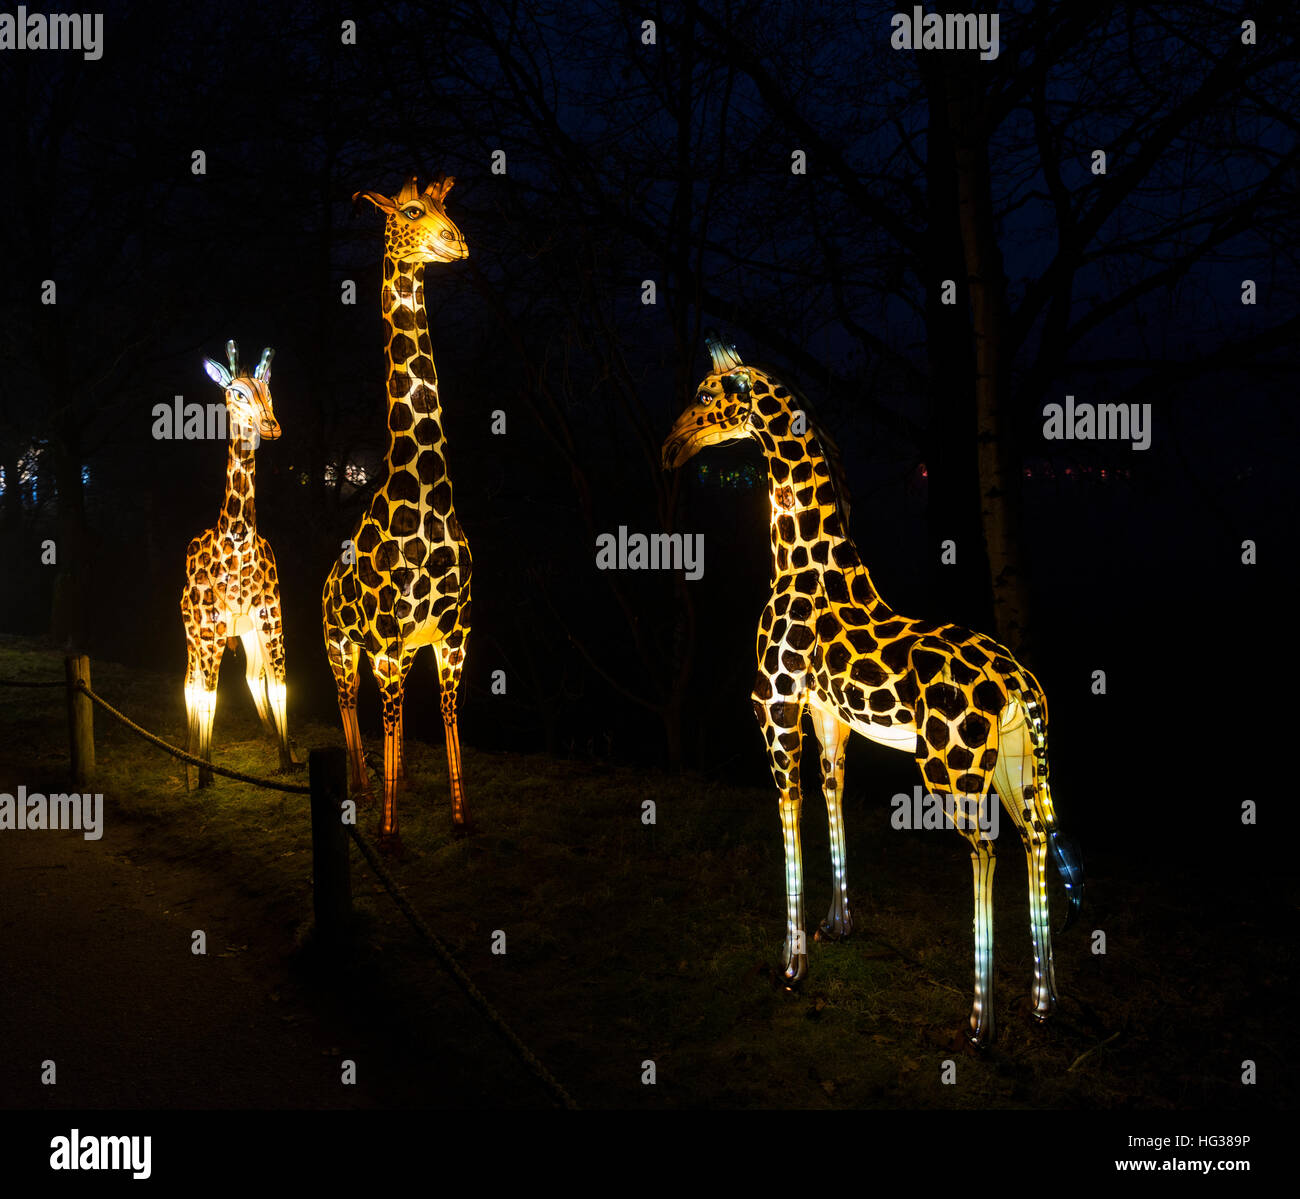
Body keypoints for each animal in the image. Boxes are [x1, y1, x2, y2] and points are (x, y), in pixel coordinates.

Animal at [662, 334, 1084, 1044]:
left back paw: (981, 1022)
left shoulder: (775, 709)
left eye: (704, 397)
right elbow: (831, 794)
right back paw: (1045, 1000)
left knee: (985, 848)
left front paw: (792, 965)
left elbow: (790, 810)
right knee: (1036, 837)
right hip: (1017, 763)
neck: (802, 567)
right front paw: (837, 925)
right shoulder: (828, 717)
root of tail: (1019, 684)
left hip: (952, 768)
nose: (670, 448)